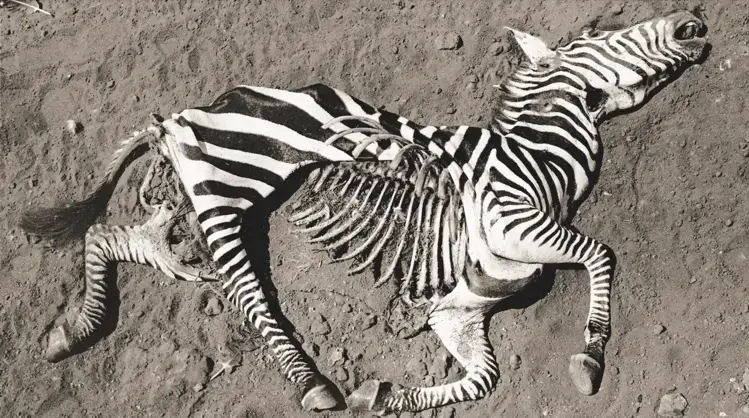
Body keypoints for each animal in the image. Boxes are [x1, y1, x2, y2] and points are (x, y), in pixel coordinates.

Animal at [20, 10, 708, 415]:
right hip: (228, 189)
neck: (535, 154)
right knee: (246, 292)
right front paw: (590, 356)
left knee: (116, 237)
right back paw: (314, 386)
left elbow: (483, 377)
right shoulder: (513, 224)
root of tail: (189, 112)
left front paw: (389, 393)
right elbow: (599, 253)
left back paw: (74, 329)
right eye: (598, 35)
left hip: (190, 206)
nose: (694, 22)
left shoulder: (457, 310)